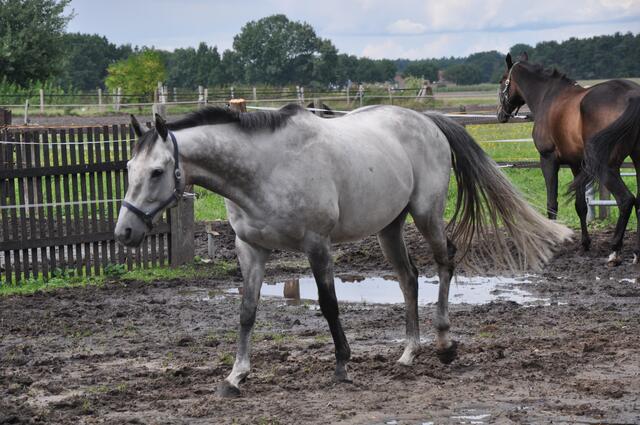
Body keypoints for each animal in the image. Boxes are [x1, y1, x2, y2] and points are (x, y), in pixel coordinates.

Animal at [115, 104, 571, 397]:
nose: (125, 232)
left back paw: (443, 345)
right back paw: (408, 353)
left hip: (426, 216)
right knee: (408, 279)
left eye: (157, 171)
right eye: (128, 168)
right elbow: (247, 311)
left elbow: (329, 304)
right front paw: (235, 376)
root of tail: (426, 119)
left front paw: (342, 365)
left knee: (445, 262)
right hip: (389, 227)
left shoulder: (318, 245)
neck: (263, 169)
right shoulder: (251, 250)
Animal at [497, 52, 640, 266]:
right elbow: (581, 206)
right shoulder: (576, 165)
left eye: (502, 82)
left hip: (608, 166)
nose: (500, 115)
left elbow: (552, 203)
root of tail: (632, 95)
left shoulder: (548, 160)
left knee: (626, 200)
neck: (547, 97)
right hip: (638, 161)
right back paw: (636, 252)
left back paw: (615, 251)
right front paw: (585, 244)